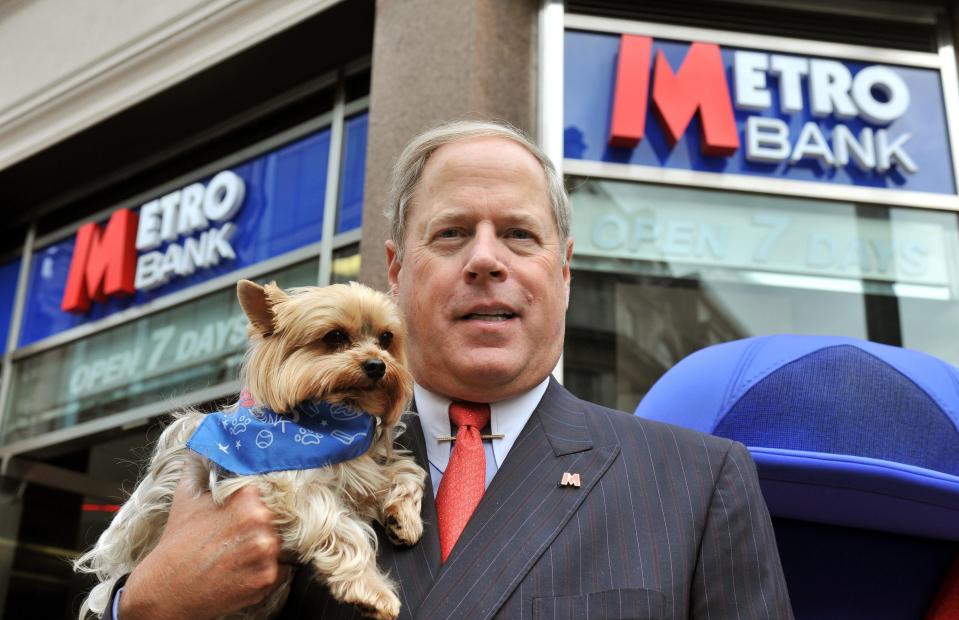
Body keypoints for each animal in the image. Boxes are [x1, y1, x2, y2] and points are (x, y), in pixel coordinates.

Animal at [77, 282, 430, 620]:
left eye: (386, 338)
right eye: (335, 337)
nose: (377, 365)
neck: (330, 421)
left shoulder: (357, 465)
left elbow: (407, 470)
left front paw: (403, 517)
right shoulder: (279, 481)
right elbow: (336, 522)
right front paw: (371, 590)